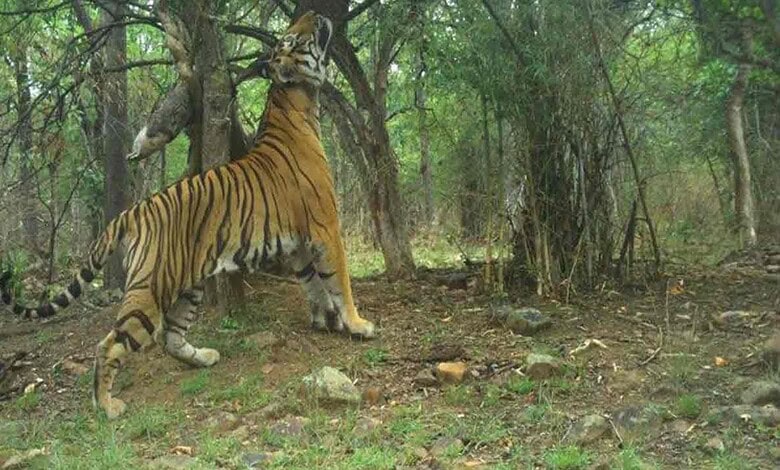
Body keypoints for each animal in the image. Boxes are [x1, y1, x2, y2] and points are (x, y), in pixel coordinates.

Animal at [0, 11, 375, 419]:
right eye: (290, 39)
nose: (314, 14)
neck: (297, 102)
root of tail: (134, 210)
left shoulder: (298, 243)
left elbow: (313, 283)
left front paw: (326, 320)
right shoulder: (326, 226)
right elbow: (340, 281)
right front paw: (357, 324)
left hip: (187, 284)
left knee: (170, 337)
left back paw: (205, 357)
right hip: (151, 288)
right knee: (112, 343)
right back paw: (108, 405)